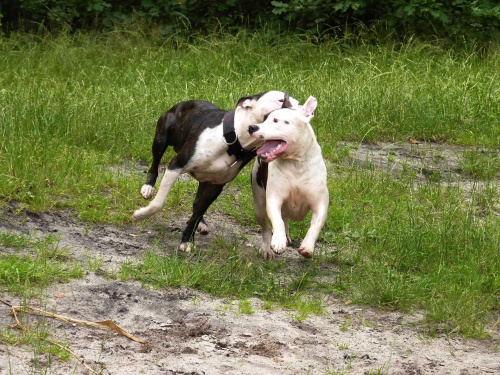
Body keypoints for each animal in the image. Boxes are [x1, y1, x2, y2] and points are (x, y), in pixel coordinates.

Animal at [132, 90, 296, 253]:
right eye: (280, 100)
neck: (234, 141)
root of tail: (183, 103)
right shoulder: (175, 166)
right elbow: (158, 203)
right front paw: (140, 215)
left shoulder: (214, 186)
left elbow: (197, 213)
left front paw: (187, 240)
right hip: (162, 137)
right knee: (155, 163)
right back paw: (148, 187)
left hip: (205, 180)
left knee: (198, 205)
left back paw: (201, 223)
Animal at [249, 96, 328, 258]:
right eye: (264, 118)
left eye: (276, 120)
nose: (252, 127)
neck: (296, 163)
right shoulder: (274, 198)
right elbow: (277, 220)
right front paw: (278, 241)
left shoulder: (320, 203)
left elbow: (315, 226)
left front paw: (307, 247)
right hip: (259, 205)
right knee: (268, 227)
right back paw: (268, 248)